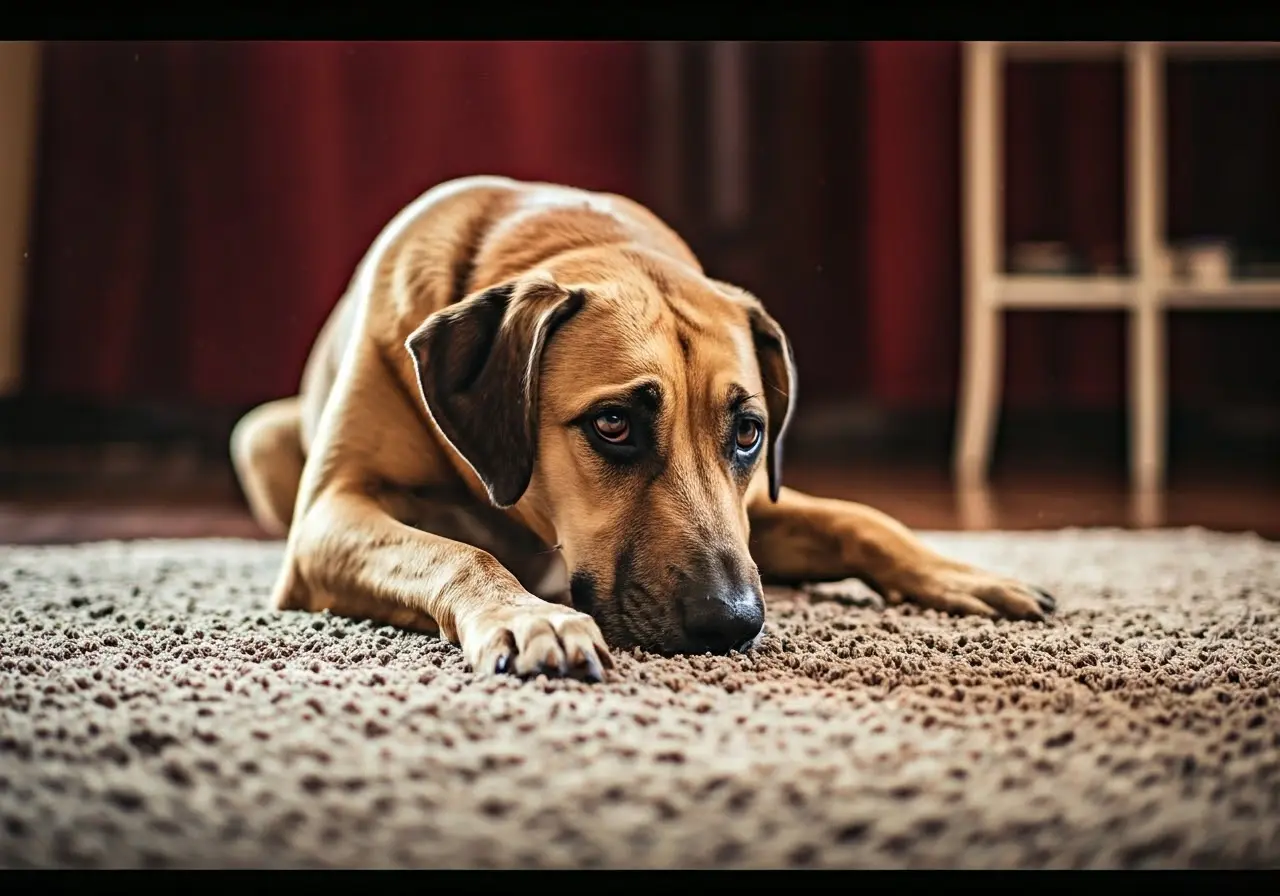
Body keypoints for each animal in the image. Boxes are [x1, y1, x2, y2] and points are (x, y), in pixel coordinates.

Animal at [230, 172, 1049, 680]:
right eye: (614, 424)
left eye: (748, 434)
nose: (733, 622)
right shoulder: (330, 516)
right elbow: (458, 553)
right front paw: (532, 618)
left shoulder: (753, 507)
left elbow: (862, 519)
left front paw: (962, 573)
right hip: (259, 437)